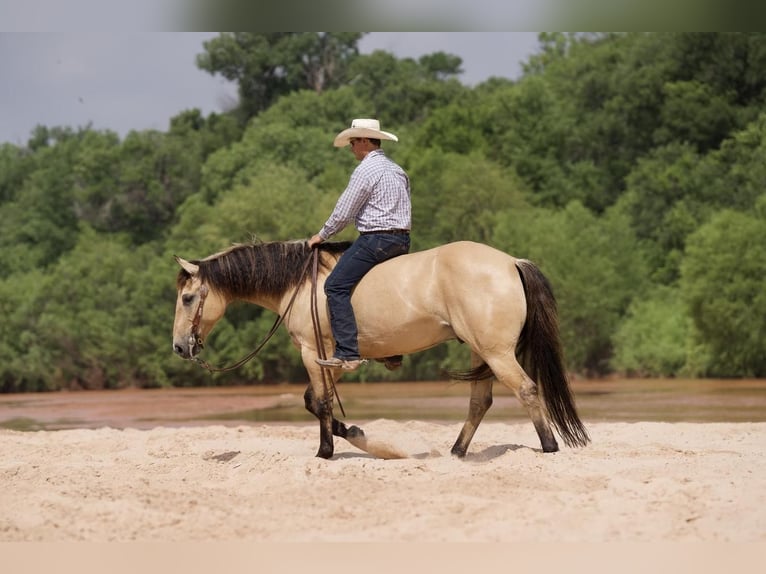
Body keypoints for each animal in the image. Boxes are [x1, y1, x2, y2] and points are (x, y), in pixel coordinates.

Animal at [174, 241, 592, 462]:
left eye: (188, 297)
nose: (180, 347)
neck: (298, 284)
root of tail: (511, 262)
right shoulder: (334, 359)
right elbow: (314, 401)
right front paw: (355, 433)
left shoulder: (312, 353)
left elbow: (320, 402)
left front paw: (326, 451)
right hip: (481, 354)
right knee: (480, 402)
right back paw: (456, 452)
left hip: (497, 354)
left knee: (526, 390)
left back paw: (549, 447)